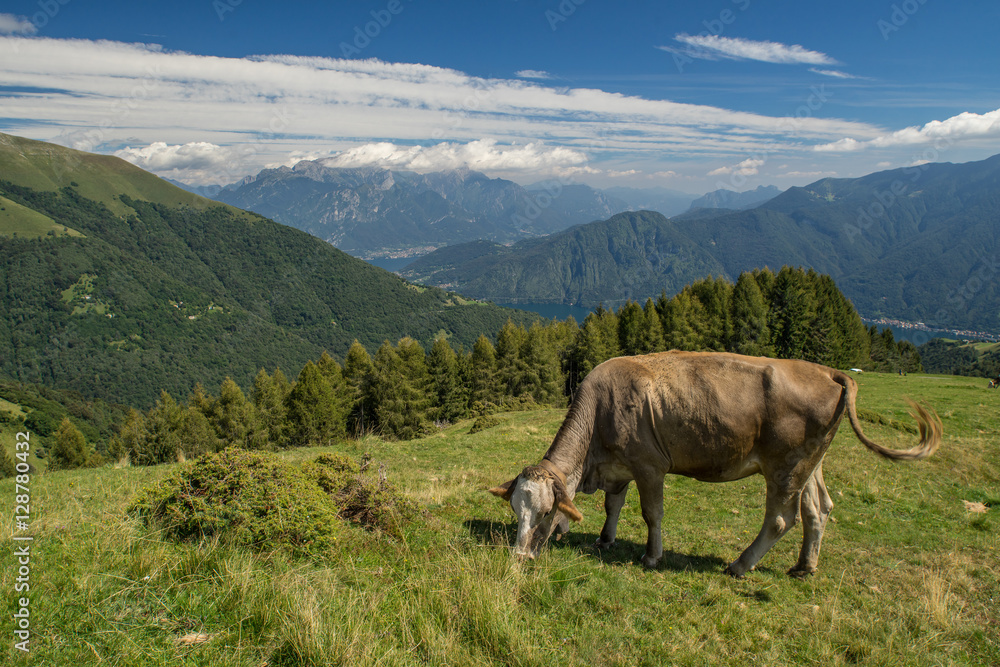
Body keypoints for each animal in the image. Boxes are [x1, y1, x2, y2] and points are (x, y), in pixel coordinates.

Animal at [488, 352, 940, 576]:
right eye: (515, 511)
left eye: (546, 512)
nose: (520, 557)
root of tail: (829, 372)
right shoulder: (620, 465)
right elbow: (613, 505)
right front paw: (605, 538)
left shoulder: (649, 466)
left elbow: (651, 514)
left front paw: (652, 556)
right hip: (811, 464)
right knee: (819, 509)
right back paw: (803, 567)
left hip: (784, 466)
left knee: (781, 519)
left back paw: (740, 565)